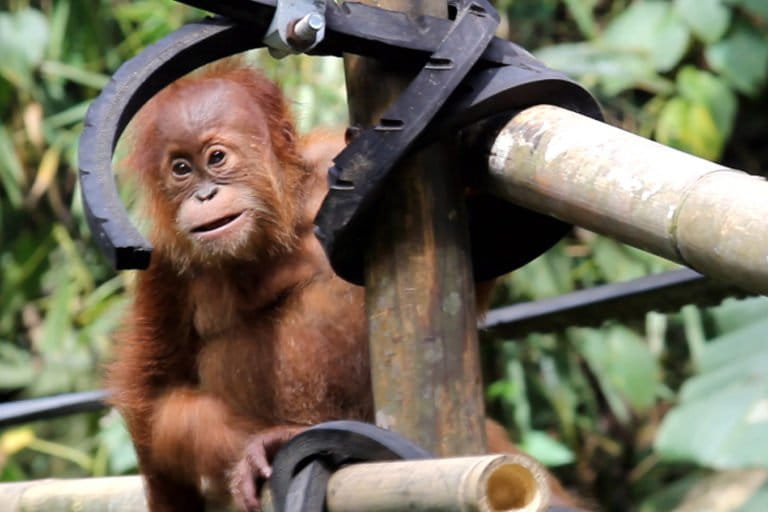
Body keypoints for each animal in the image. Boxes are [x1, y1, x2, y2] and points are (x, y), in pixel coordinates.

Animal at [108, 61, 583, 512]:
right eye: (181, 169)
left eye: (217, 158)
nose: (203, 196)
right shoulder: (162, 265)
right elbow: (158, 394)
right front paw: (263, 444)